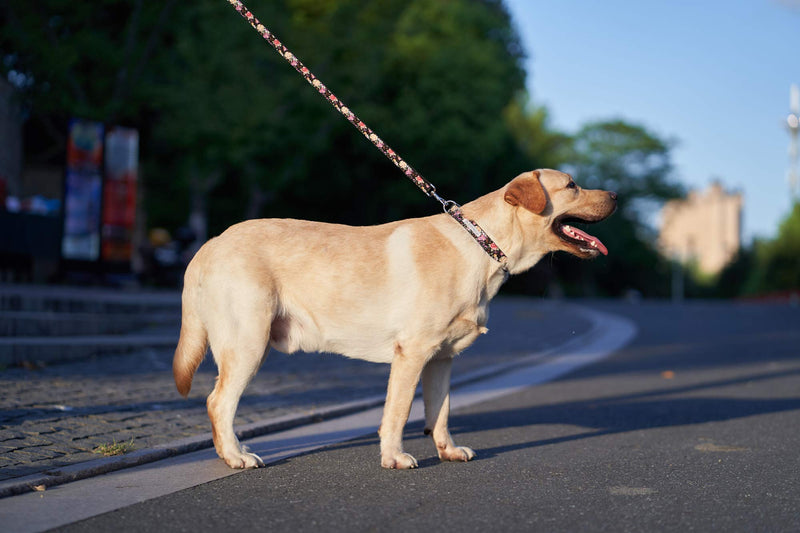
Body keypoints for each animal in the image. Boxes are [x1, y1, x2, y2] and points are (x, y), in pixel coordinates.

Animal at [172, 169, 616, 470]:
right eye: (572, 186)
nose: (615, 193)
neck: (482, 243)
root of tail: (210, 243)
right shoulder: (412, 353)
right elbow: (398, 412)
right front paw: (394, 457)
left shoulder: (442, 360)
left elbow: (440, 413)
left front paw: (447, 450)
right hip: (248, 342)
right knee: (217, 402)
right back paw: (235, 456)